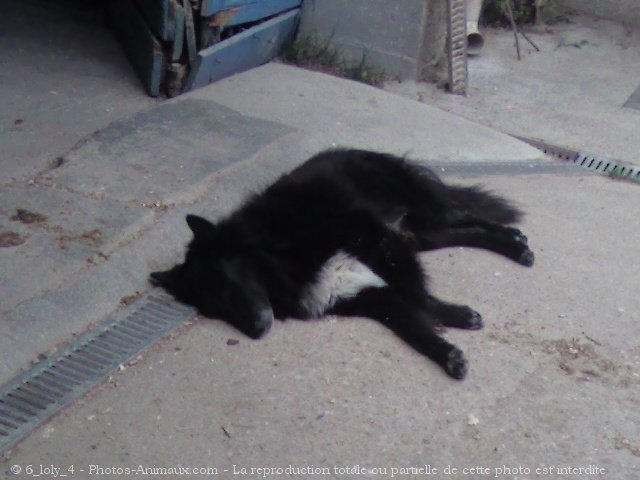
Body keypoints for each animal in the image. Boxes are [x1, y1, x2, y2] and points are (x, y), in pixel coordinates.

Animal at [152, 148, 532, 380]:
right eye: (213, 310)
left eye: (227, 285)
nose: (258, 331)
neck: (282, 253)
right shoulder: (367, 294)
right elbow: (413, 323)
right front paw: (447, 347)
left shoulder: (380, 242)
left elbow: (417, 295)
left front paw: (452, 318)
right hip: (421, 233)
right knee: (464, 231)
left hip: (422, 213)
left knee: (467, 216)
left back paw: (515, 243)